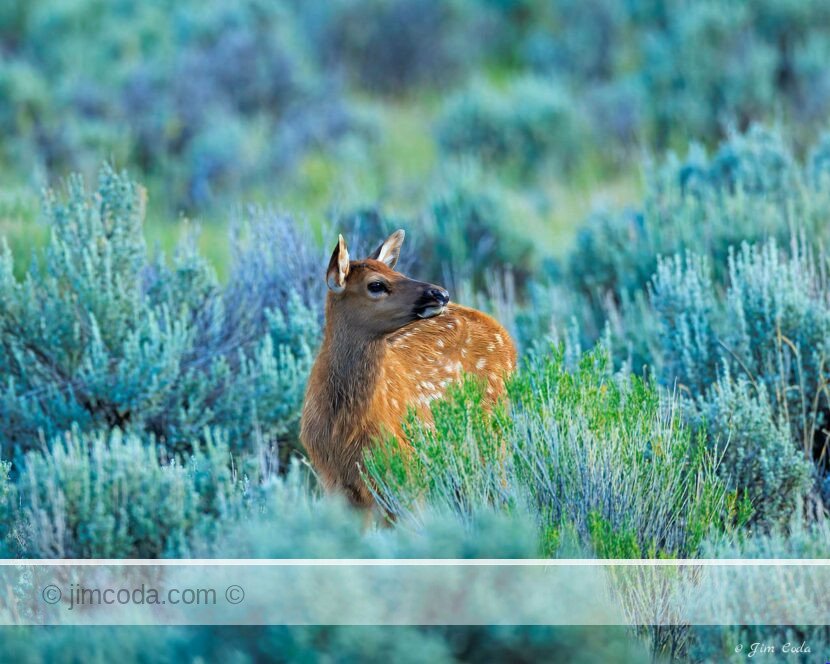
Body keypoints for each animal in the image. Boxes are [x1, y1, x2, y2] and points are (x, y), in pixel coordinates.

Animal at [300, 230, 517, 510]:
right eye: (376, 285)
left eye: (399, 273)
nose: (441, 293)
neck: (344, 429)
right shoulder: (333, 480)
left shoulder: (407, 470)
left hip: (494, 434)